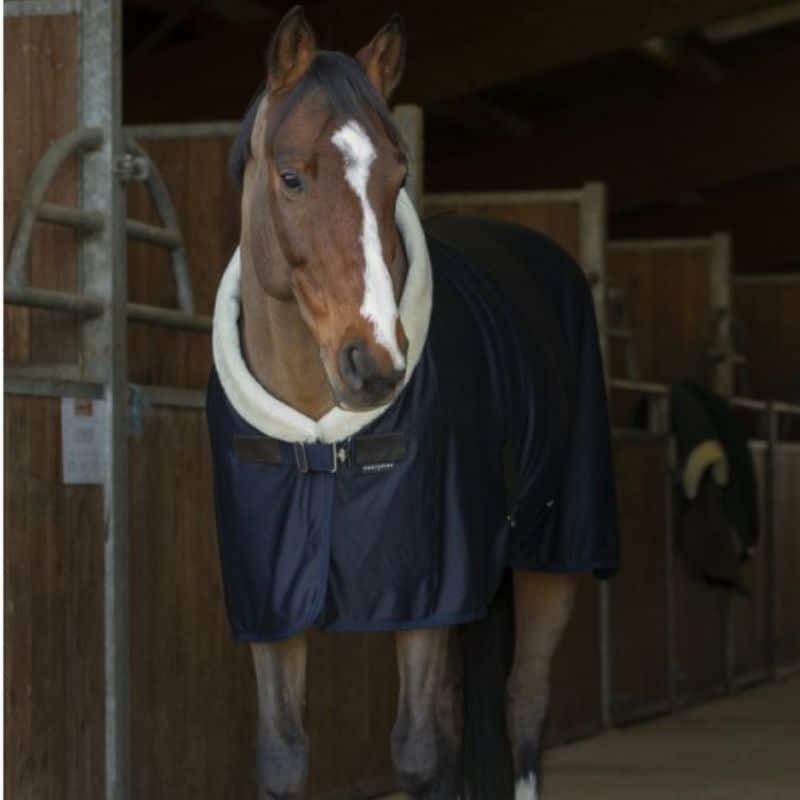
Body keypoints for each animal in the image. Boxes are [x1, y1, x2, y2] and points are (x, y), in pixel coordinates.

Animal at [206, 7, 619, 799]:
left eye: (397, 175)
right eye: (291, 177)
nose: (375, 365)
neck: (319, 445)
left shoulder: (424, 592)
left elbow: (420, 751)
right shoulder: (271, 604)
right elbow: (284, 754)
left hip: (553, 557)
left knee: (524, 705)